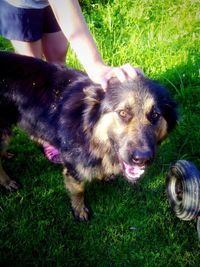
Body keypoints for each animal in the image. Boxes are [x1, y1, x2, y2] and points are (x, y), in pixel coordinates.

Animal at [0, 51, 178, 222]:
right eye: (122, 113)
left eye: (155, 115)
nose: (142, 159)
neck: (89, 132)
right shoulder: (73, 168)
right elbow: (78, 190)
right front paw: (79, 210)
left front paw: (103, 175)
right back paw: (7, 182)